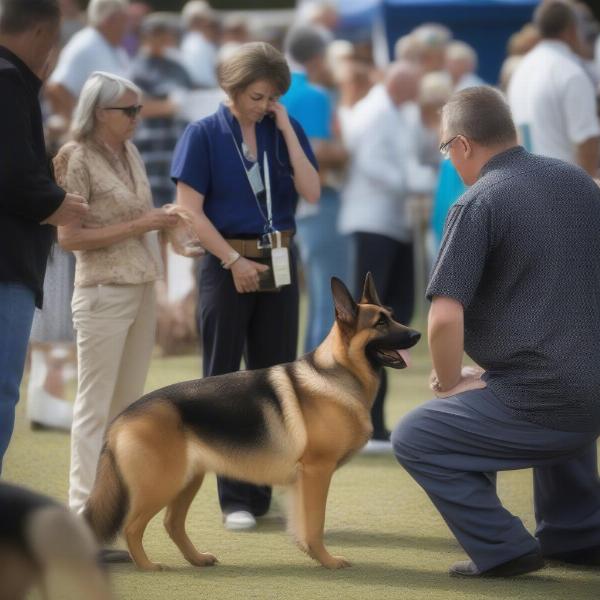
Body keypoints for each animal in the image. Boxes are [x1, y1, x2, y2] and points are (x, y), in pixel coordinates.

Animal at [84, 274, 420, 568]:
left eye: (392, 316)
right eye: (379, 323)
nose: (417, 335)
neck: (338, 372)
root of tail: (122, 417)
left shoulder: (303, 480)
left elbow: (303, 524)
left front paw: (311, 554)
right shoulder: (317, 473)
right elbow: (315, 523)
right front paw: (327, 560)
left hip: (187, 480)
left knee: (172, 524)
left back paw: (197, 559)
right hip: (163, 484)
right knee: (132, 527)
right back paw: (147, 566)